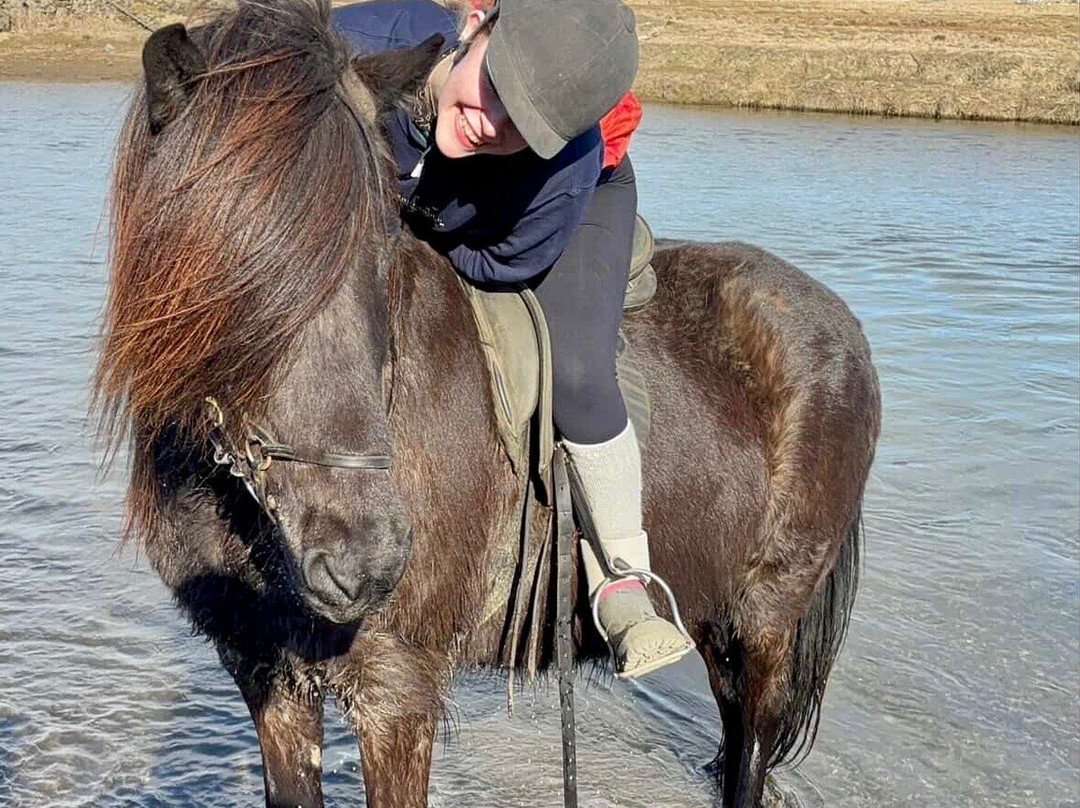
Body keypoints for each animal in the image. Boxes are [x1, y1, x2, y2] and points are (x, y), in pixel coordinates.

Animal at [94, 3, 880, 807]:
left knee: (751, 755)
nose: (367, 561)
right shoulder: (266, 674)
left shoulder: (395, 693)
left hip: (767, 625)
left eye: (380, 243)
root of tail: (840, 324)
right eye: (230, 253)